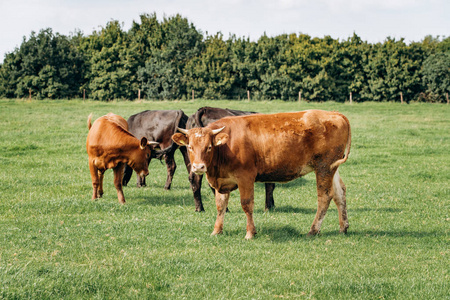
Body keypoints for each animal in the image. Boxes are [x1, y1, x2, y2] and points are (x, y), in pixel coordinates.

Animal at [172, 110, 352, 239]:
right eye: (190, 147)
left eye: (209, 147)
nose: (198, 167)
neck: (226, 146)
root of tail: (335, 114)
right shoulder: (222, 181)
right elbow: (220, 206)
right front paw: (217, 231)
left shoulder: (245, 177)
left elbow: (247, 204)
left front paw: (250, 233)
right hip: (332, 167)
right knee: (339, 193)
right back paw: (343, 227)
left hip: (323, 167)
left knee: (324, 196)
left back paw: (313, 230)